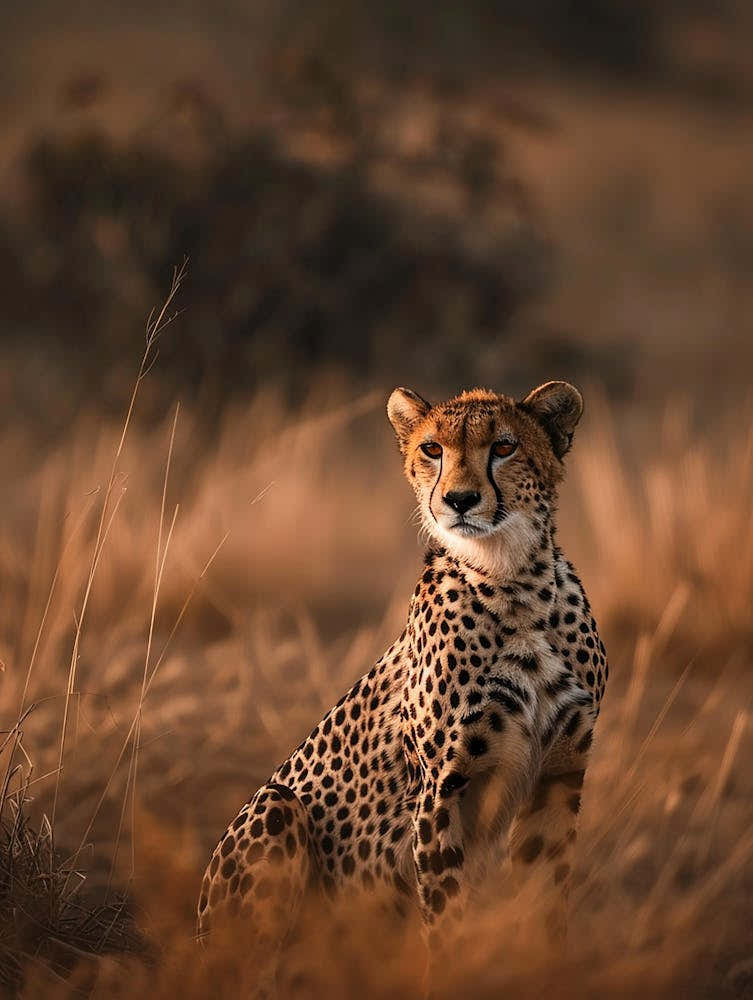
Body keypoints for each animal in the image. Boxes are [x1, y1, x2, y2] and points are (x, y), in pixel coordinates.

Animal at [197, 381, 608, 993]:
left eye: (504, 447)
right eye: (433, 449)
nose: (459, 500)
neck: (513, 581)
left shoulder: (559, 775)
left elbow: (545, 900)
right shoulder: (441, 788)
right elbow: (447, 917)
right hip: (276, 809)